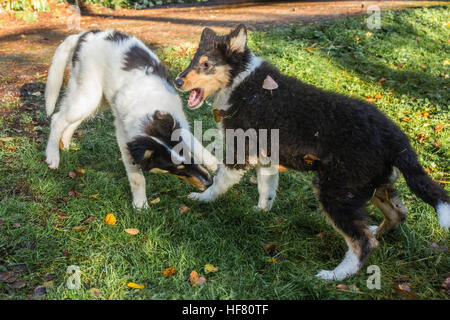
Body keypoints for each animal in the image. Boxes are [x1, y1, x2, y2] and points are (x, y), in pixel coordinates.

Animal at [44, 28, 217, 209]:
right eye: (177, 169)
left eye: (190, 157)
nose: (210, 182)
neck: (147, 113)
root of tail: (82, 35)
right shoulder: (125, 141)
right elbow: (137, 178)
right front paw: (141, 204)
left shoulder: (176, 120)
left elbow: (193, 141)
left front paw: (212, 161)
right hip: (89, 93)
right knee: (57, 118)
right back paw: (53, 155)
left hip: (97, 98)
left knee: (71, 119)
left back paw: (65, 142)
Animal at [175, 25, 450, 280]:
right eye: (193, 61)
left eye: (206, 64)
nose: (177, 81)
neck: (241, 82)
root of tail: (397, 138)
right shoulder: (266, 156)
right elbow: (267, 188)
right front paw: (261, 212)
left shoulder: (240, 150)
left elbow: (219, 180)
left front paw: (201, 198)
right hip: (372, 184)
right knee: (398, 214)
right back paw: (376, 231)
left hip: (336, 190)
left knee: (363, 242)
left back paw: (334, 275)